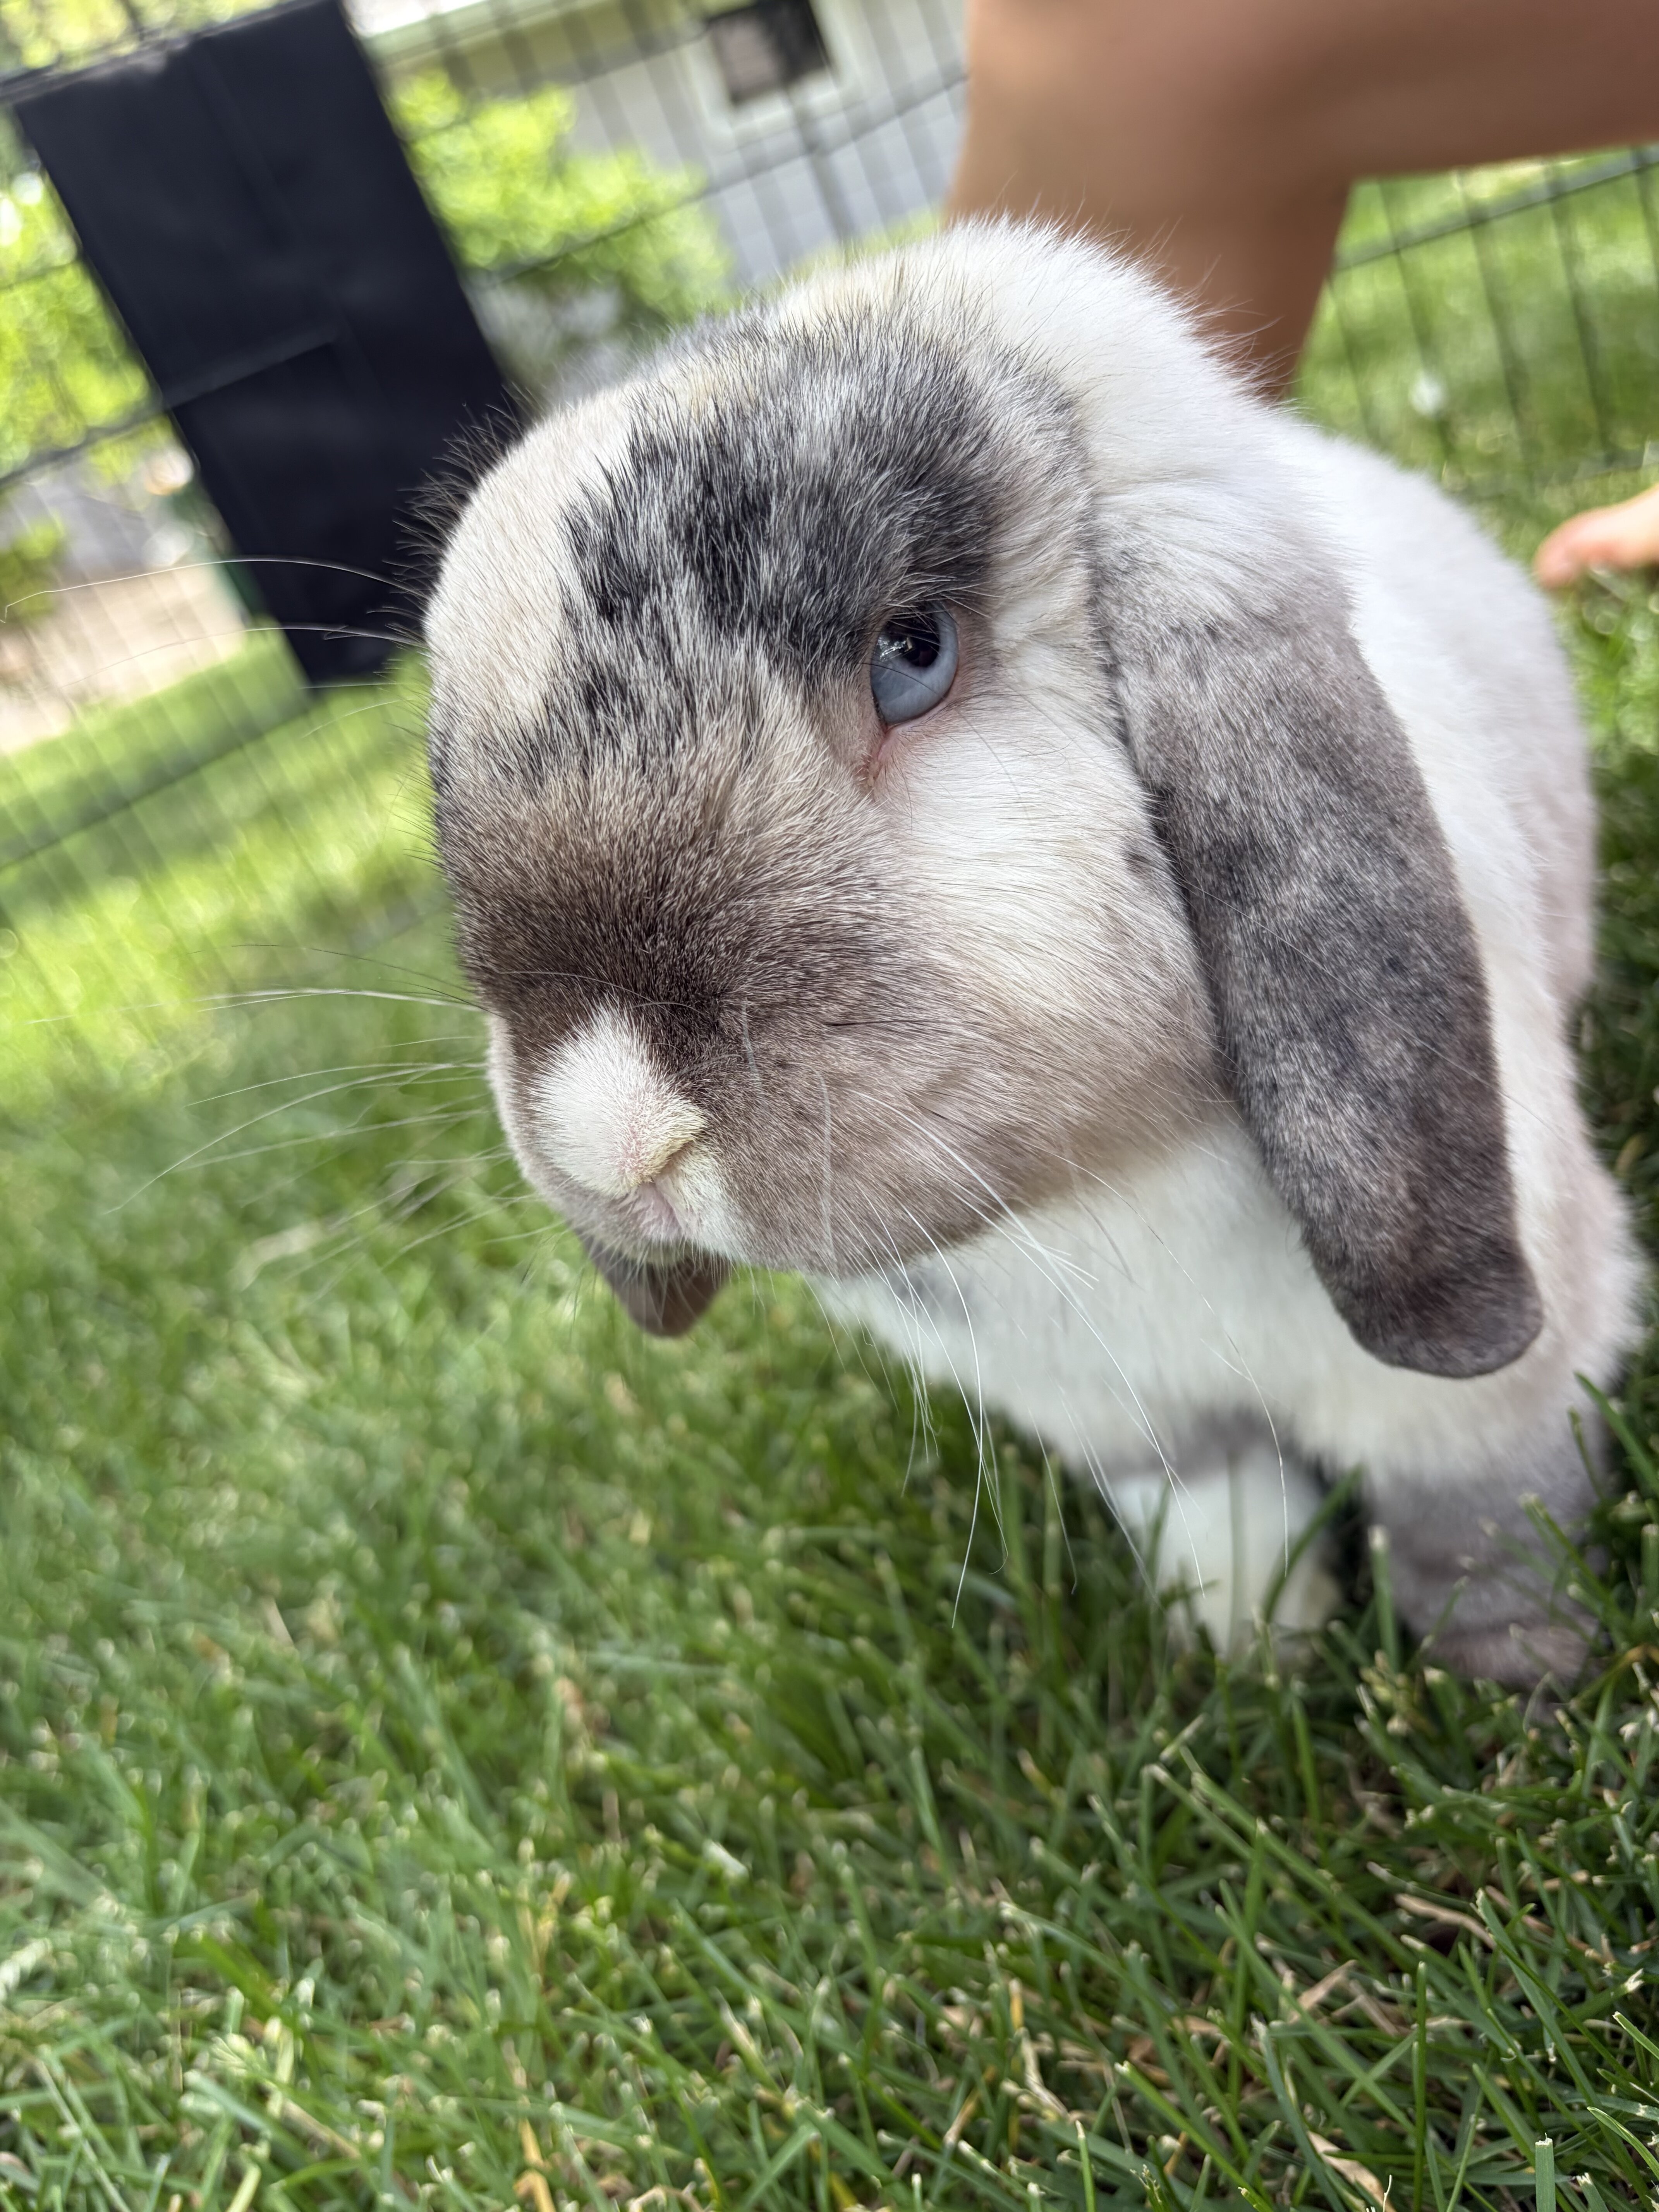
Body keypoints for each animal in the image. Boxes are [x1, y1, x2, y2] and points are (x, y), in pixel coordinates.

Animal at [423, 219, 1643, 1686]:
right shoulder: (1141, 1432)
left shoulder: (1480, 1395)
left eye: (913, 654)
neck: (1102, 1187)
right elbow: (1223, 1525)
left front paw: (1523, 1680)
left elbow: (1475, 1522)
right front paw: (1238, 1660)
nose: (614, 1133)